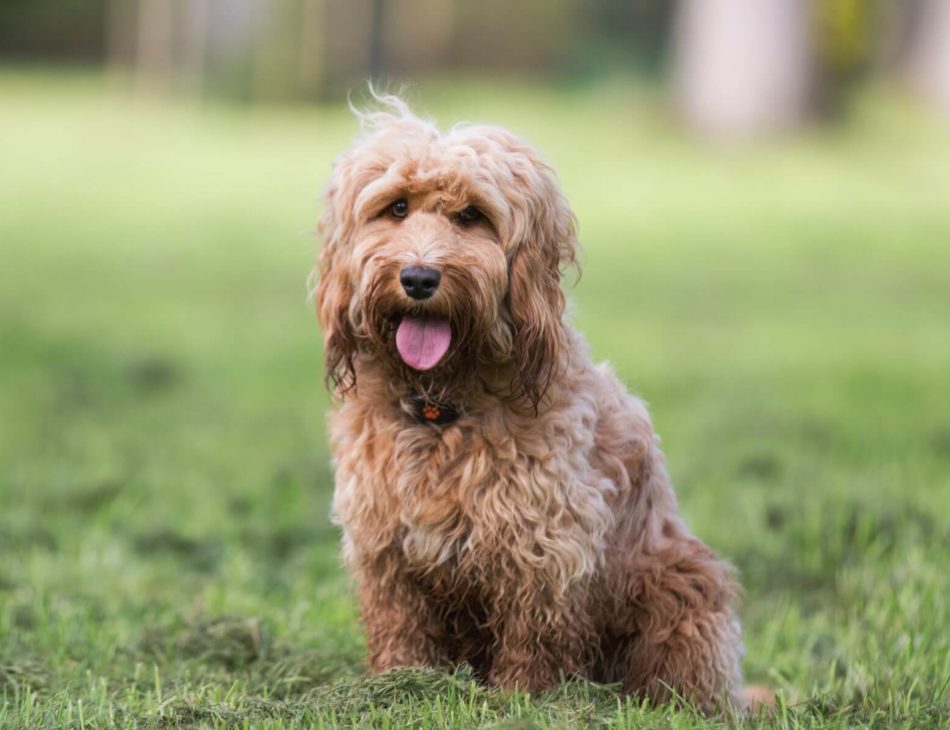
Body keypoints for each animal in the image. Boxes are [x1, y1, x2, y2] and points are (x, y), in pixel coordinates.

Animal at [316, 94, 748, 708]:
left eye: (472, 215)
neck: (441, 408)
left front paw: (523, 697)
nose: (419, 277)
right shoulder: (385, 544)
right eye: (396, 208)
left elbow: (534, 634)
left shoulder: (546, 542)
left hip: (680, 588)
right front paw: (400, 682)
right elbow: (399, 624)